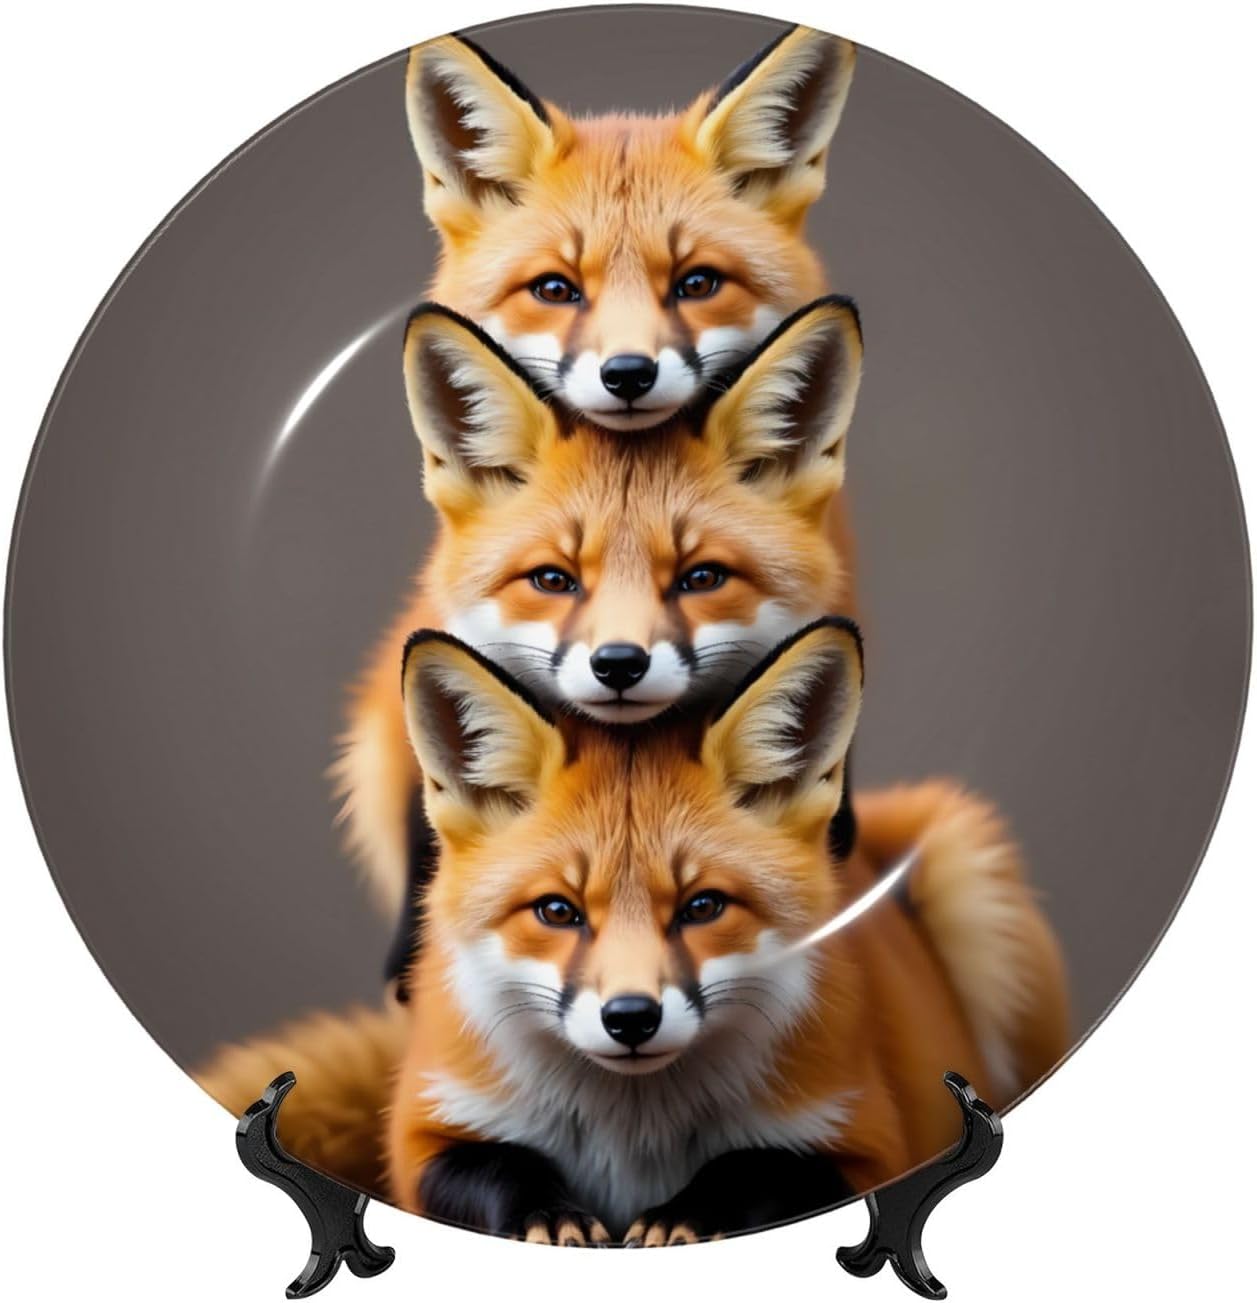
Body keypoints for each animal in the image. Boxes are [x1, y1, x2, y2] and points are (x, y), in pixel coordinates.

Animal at [196, 625, 1068, 1237]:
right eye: (557, 910)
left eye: (702, 906)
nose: (629, 1018)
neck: (632, 1140)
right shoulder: (424, 1135)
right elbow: (498, 1167)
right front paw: (552, 1213)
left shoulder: (867, 1139)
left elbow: (755, 1167)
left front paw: (682, 1214)